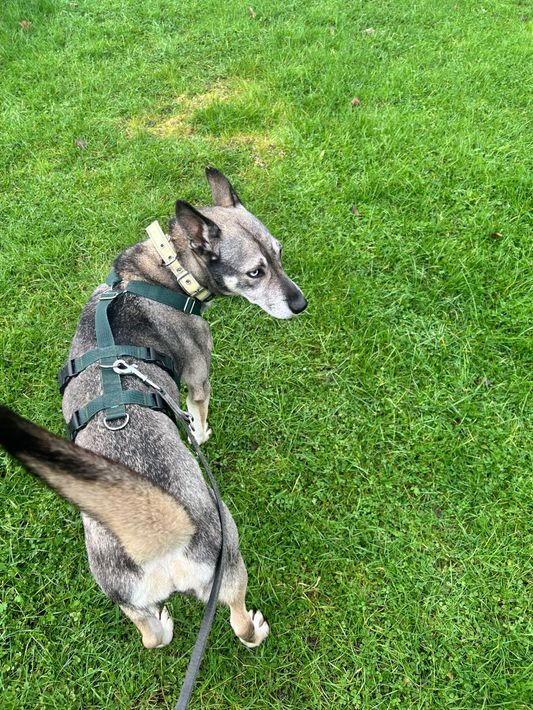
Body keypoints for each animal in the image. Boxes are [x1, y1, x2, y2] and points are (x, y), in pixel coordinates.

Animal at [0, 167, 306, 649]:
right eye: (255, 272)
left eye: (279, 254)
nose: (300, 304)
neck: (169, 269)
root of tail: (158, 539)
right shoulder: (199, 375)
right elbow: (198, 411)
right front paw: (199, 431)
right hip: (230, 560)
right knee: (237, 621)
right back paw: (253, 629)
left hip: (124, 596)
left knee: (151, 637)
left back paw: (164, 624)